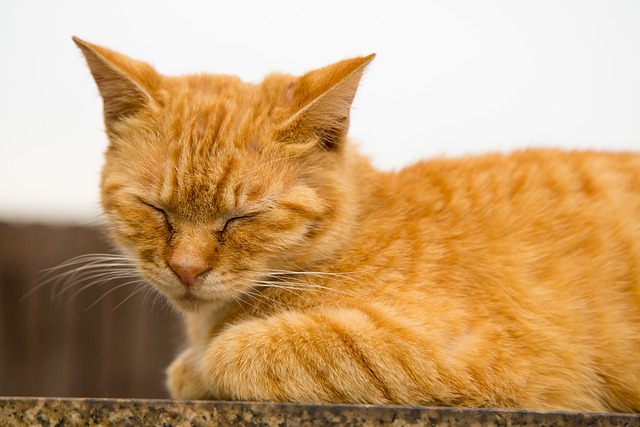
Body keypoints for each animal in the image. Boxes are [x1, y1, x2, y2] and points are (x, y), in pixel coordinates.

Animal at [71, 37, 640, 414]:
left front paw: (198, 366)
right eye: (155, 209)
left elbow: (238, 351)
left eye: (242, 217)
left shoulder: (498, 361)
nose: (186, 270)